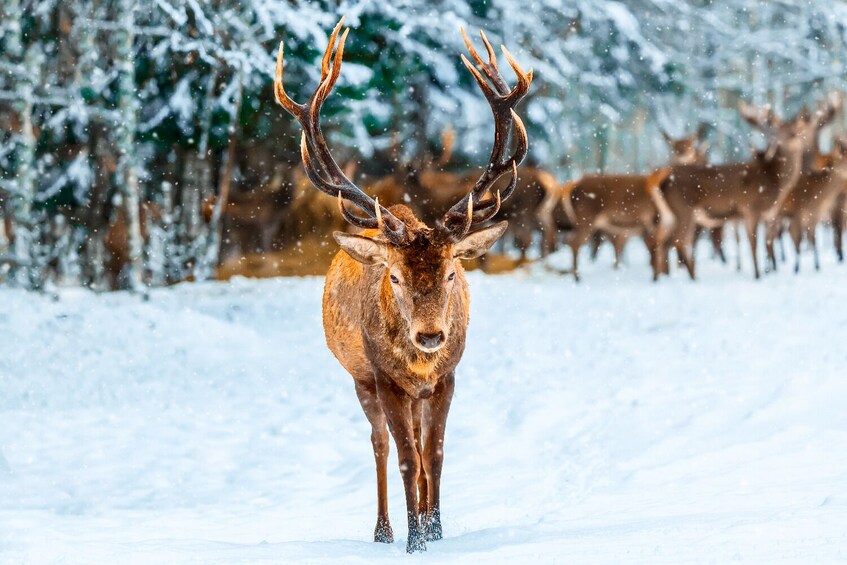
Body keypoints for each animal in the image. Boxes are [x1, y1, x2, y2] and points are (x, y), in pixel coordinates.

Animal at [274, 16, 532, 552]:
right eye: (393, 275)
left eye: (452, 271)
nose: (430, 335)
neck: (418, 367)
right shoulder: (385, 378)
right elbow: (408, 457)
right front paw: (415, 539)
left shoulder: (448, 376)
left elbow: (435, 454)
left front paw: (436, 529)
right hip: (360, 379)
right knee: (379, 446)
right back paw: (384, 530)